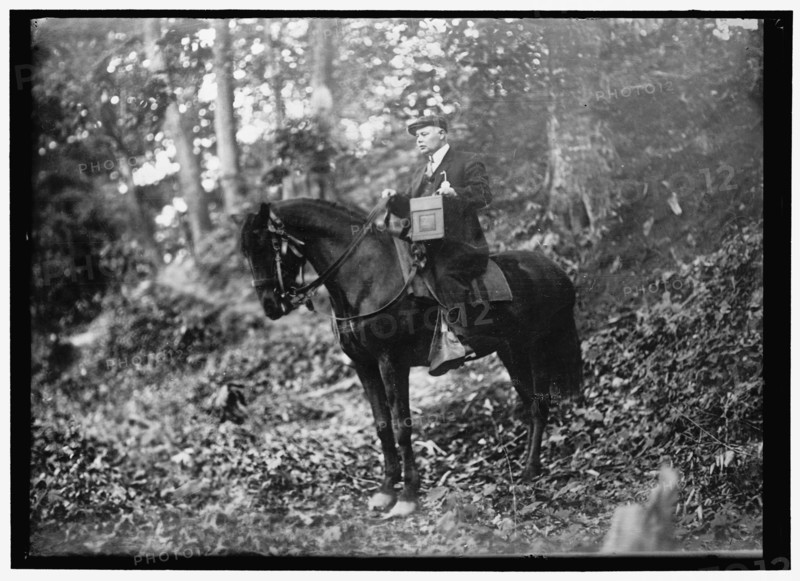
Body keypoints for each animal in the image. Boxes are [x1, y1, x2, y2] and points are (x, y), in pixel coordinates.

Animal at [240, 198, 582, 517]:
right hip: (511, 350)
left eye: (267, 244)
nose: (270, 305)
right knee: (528, 402)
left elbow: (401, 425)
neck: (366, 278)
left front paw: (407, 496)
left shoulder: (391, 362)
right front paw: (386, 489)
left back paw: (530, 469)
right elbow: (382, 425)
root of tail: (555, 270)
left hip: (536, 347)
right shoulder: (364, 366)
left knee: (539, 405)